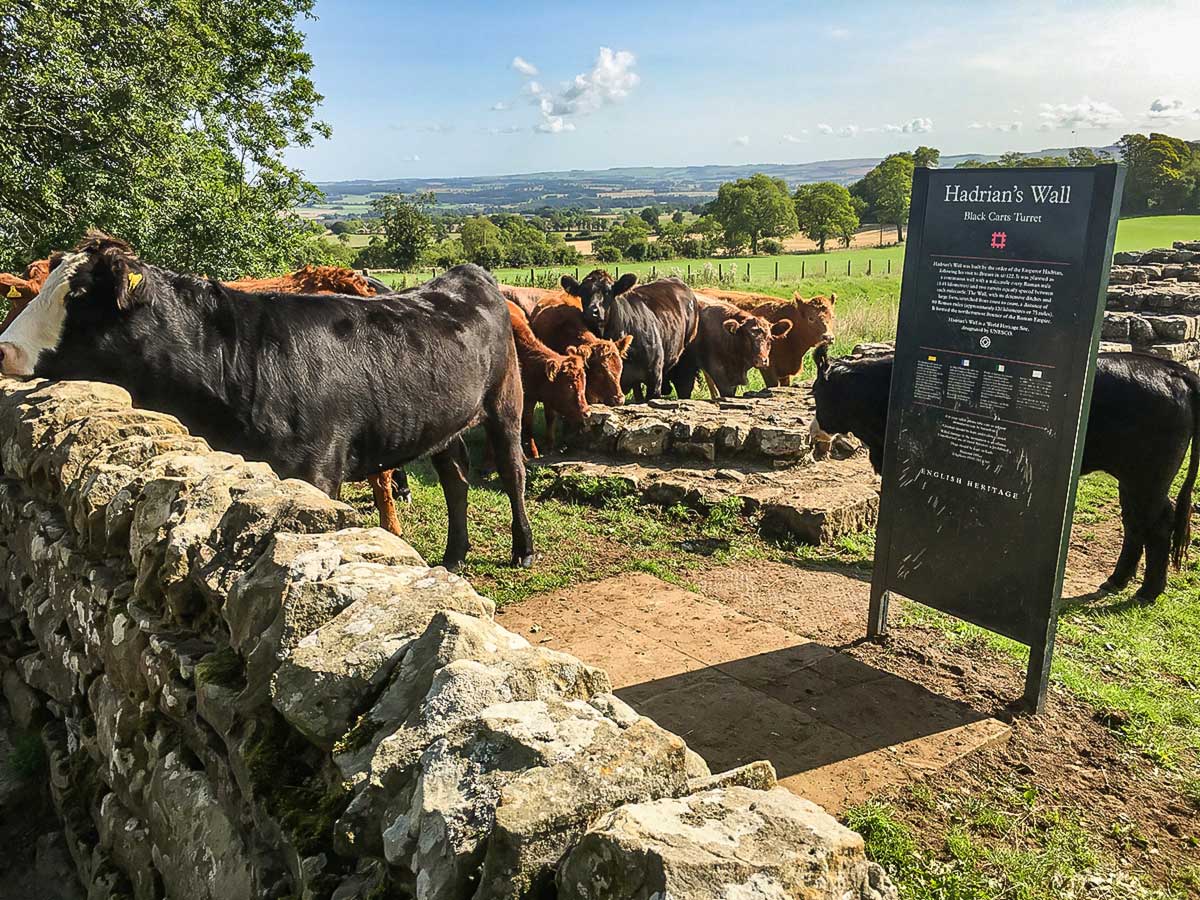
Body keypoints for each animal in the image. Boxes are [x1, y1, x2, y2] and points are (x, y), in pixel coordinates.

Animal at [0, 232, 535, 571]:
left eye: (79, 294)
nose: (5, 348)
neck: (237, 363)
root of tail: (465, 274)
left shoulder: (317, 468)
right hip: (442, 420)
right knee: (456, 480)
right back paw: (454, 555)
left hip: (505, 400)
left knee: (512, 472)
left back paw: (523, 548)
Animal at [811, 348, 1200, 607]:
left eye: (816, 392)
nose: (817, 429)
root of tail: (1171, 370)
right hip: (1134, 478)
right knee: (1136, 523)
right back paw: (1117, 580)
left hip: (1147, 477)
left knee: (1156, 524)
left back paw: (1148, 591)